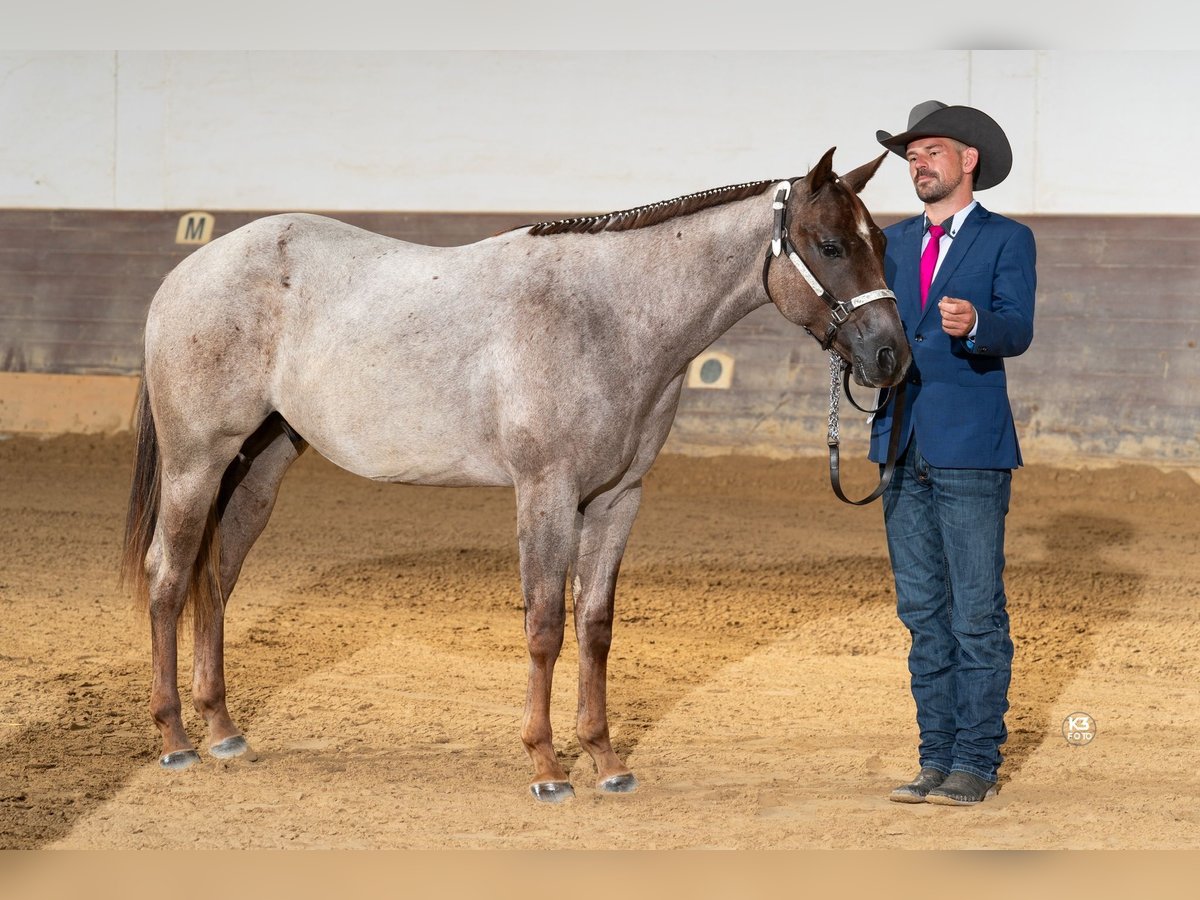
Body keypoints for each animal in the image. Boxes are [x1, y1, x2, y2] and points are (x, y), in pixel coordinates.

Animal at [121, 146, 907, 801]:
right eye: (831, 245)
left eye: (881, 243)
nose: (891, 358)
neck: (609, 317)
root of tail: (189, 270)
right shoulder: (546, 492)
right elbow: (544, 626)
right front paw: (547, 766)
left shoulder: (617, 500)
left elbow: (595, 626)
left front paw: (607, 761)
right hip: (197, 462)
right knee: (169, 576)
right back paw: (175, 739)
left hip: (257, 470)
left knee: (216, 578)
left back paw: (223, 732)